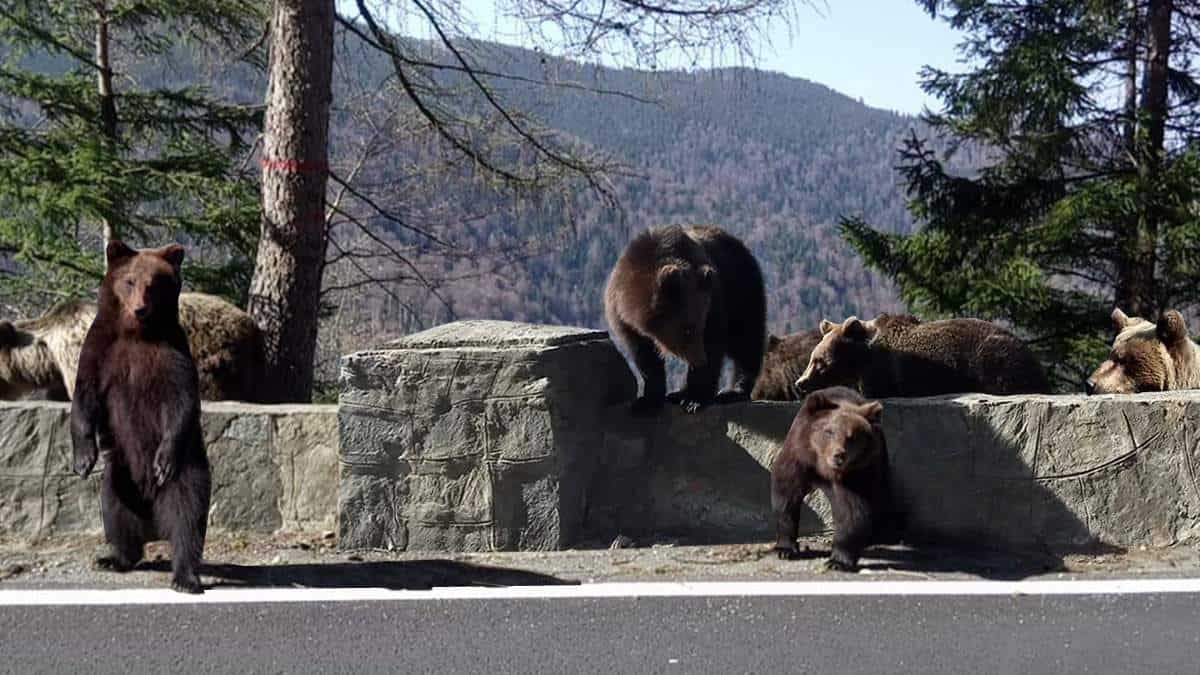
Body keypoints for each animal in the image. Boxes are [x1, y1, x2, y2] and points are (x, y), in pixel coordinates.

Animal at [71, 239, 211, 590]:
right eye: (130, 281)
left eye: (154, 284)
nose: (140, 308)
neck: (136, 333)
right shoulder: (101, 350)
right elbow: (84, 396)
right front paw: (83, 459)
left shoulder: (172, 354)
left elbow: (182, 402)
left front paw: (163, 460)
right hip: (120, 473)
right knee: (116, 512)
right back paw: (115, 558)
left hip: (188, 469)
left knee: (187, 515)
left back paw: (185, 576)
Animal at [604, 224, 763, 415]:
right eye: (687, 328)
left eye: (698, 326)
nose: (700, 359)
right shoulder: (624, 320)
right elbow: (644, 356)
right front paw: (647, 401)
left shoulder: (714, 300)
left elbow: (714, 343)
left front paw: (696, 400)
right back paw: (677, 393)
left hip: (743, 289)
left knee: (746, 339)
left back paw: (733, 391)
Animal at [768, 384, 902, 566]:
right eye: (829, 431)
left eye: (852, 436)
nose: (839, 455)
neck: (823, 468)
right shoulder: (799, 459)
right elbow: (786, 497)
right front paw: (785, 549)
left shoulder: (855, 474)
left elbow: (852, 510)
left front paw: (838, 560)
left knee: (882, 496)